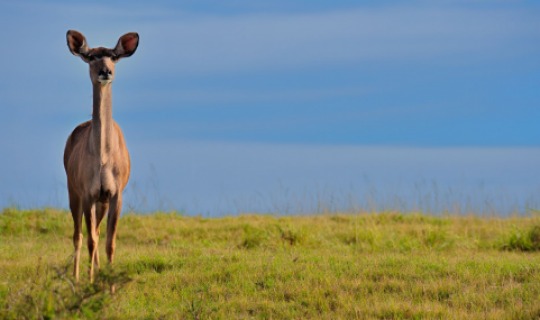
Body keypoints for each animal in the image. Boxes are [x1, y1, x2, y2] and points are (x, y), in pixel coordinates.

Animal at [63, 28, 139, 282]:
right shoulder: (87, 191)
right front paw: (89, 281)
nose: (105, 71)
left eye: (113, 56)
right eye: (91, 56)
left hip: (101, 201)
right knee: (78, 235)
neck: (103, 159)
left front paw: (109, 282)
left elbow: (110, 243)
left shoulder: (115, 193)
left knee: (94, 231)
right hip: (73, 190)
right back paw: (76, 277)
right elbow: (90, 240)